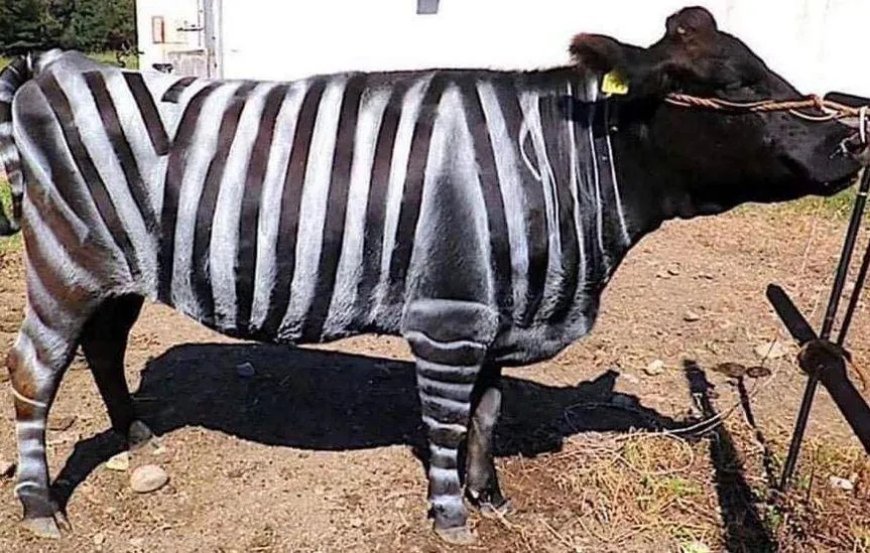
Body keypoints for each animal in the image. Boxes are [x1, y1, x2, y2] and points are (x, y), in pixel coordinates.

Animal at [0, 7, 861, 544]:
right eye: (734, 85)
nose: (852, 140)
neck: (559, 167)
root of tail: (54, 63)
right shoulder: (449, 318)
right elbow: (448, 421)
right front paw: (451, 516)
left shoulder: (498, 312)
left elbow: (487, 413)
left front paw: (492, 495)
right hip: (64, 260)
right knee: (35, 370)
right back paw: (40, 504)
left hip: (119, 270)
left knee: (103, 345)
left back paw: (134, 429)